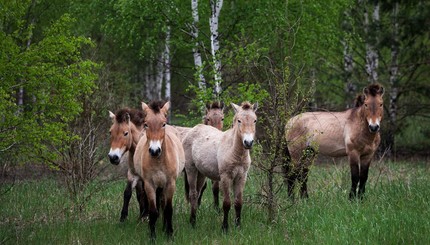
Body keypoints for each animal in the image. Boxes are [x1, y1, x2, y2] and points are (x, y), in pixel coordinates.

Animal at [134, 100, 186, 239]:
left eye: (163, 124)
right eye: (146, 124)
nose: (154, 150)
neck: (158, 161)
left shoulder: (170, 184)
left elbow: (168, 209)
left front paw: (169, 234)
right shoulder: (149, 184)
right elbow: (153, 211)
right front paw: (152, 236)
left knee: (163, 204)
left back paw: (164, 228)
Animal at [182, 101, 256, 232]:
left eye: (255, 120)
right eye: (239, 120)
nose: (248, 142)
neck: (234, 151)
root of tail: (194, 129)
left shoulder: (241, 177)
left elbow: (238, 203)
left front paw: (238, 226)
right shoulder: (225, 177)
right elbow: (226, 203)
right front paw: (225, 228)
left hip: (201, 174)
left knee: (198, 192)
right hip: (191, 170)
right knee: (193, 194)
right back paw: (192, 222)